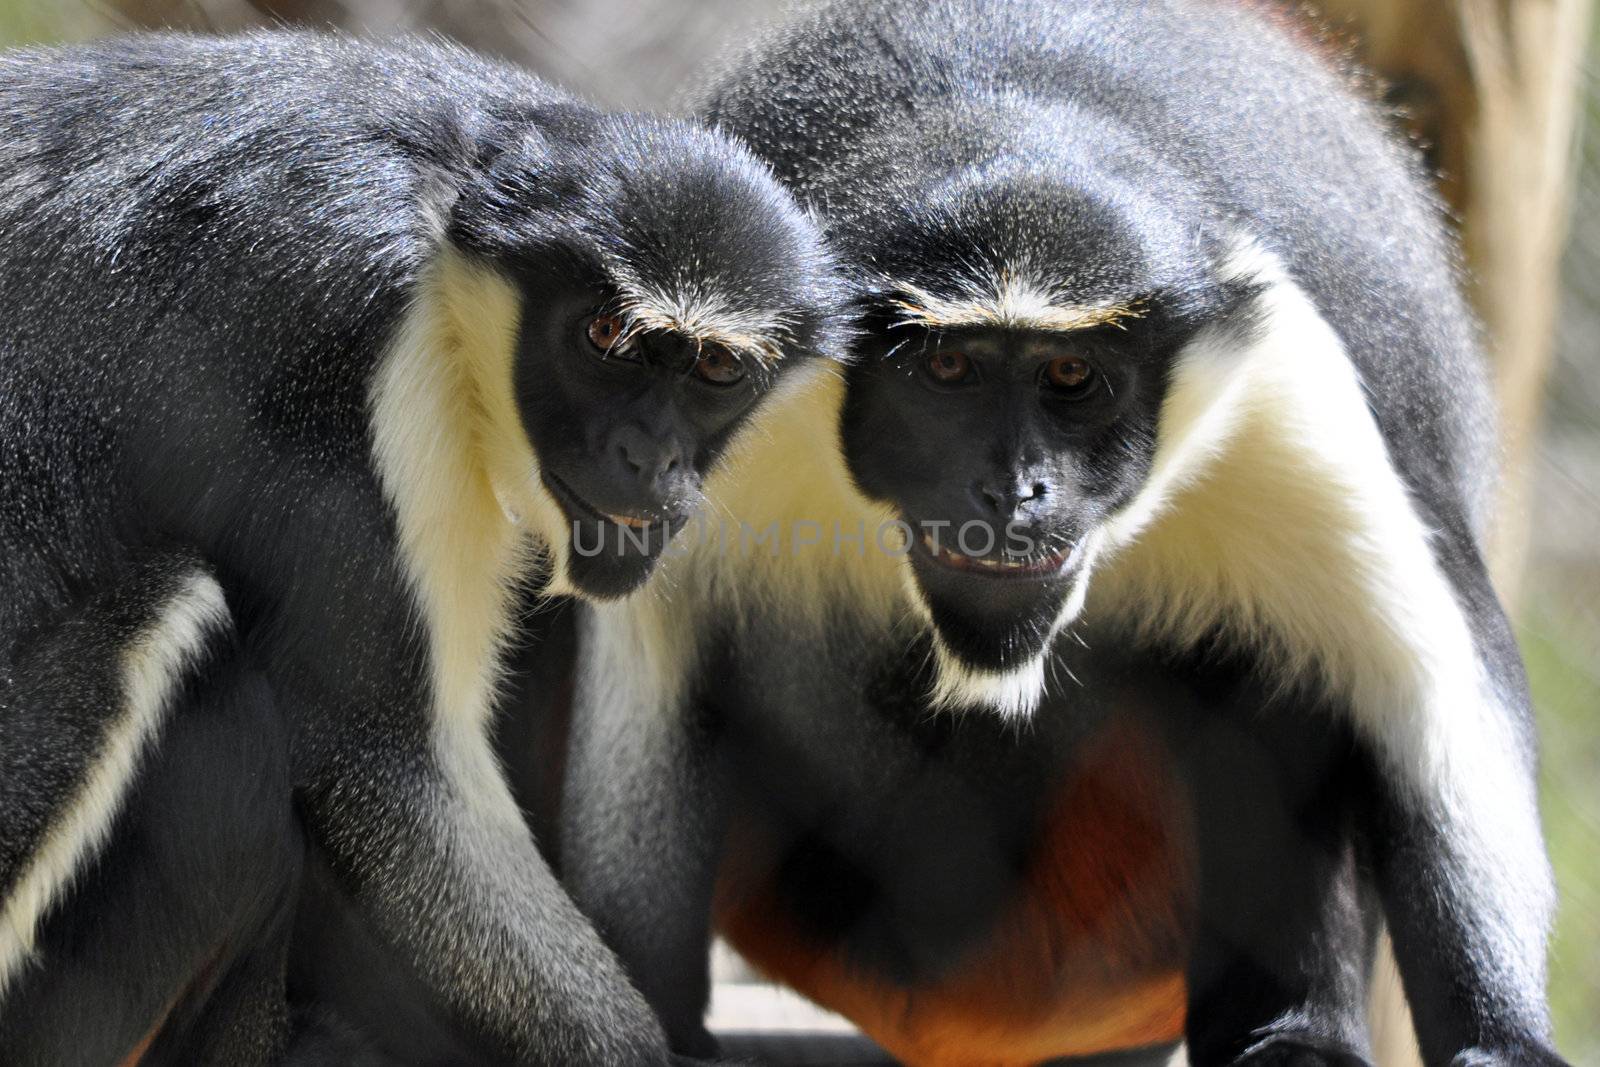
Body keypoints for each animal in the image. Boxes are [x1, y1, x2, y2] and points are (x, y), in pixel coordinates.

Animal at [0, 33, 844, 1067]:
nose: (651, 456)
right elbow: (389, 763)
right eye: (605, 334)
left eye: (715, 368)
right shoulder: (348, 340)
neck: (454, 190)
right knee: (190, 639)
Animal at [550, 2, 1561, 1067]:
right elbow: (659, 698)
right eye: (949, 369)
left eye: (1072, 377)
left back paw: (1297, 1034)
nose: (1015, 491)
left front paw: (1503, 1042)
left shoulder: (1293, 383)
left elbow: (1433, 695)